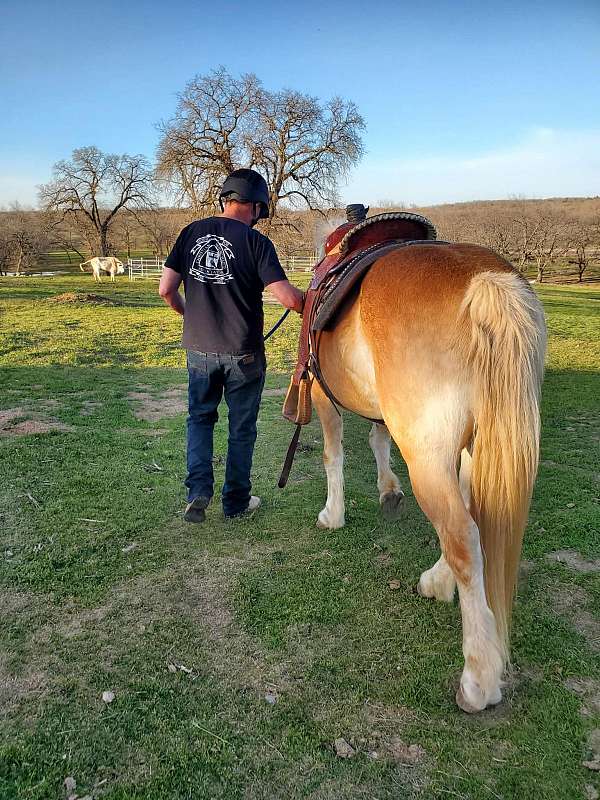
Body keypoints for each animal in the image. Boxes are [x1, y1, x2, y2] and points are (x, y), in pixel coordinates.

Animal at [307, 233, 546, 713]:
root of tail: (485, 281)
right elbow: (377, 439)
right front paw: (387, 490)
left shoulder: (323, 397)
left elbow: (332, 454)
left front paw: (333, 514)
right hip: (474, 447)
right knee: (473, 518)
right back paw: (438, 581)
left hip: (429, 457)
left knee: (462, 537)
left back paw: (478, 678)